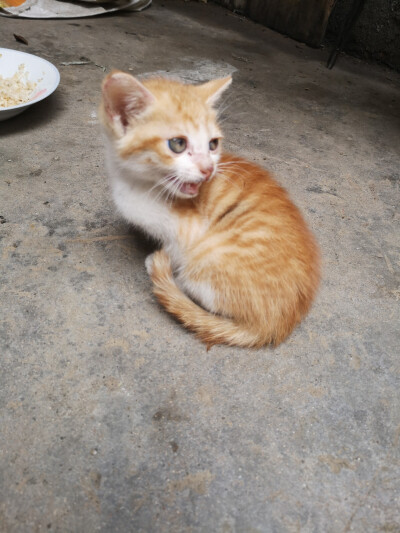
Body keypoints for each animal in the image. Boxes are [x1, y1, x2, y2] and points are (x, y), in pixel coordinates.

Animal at [99, 70, 318, 348]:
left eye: (213, 144)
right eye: (178, 144)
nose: (208, 169)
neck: (139, 185)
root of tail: (273, 326)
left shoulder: (190, 232)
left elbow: (174, 250)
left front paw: (159, 262)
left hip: (206, 259)